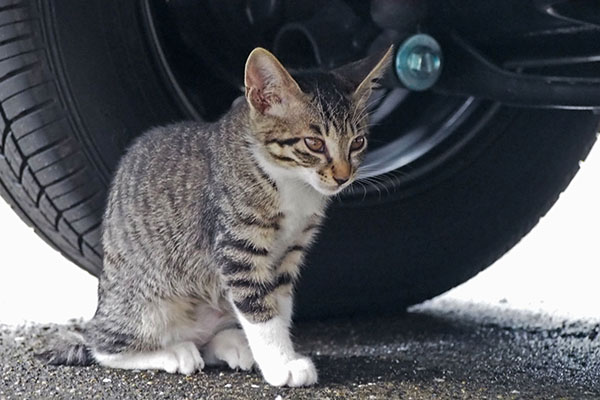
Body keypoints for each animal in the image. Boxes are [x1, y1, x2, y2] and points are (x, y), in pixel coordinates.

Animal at [38, 47, 394, 388]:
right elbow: (259, 309)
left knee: (205, 340)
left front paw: (282, 354)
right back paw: (173, 352)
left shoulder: (290, 252)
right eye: (314, 143)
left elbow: (279, 306)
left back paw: (229, 344)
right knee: (103, 347)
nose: (343, 177)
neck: (291, 184)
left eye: (358, 142)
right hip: (144, 307)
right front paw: (281, 365)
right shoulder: (237, 246)